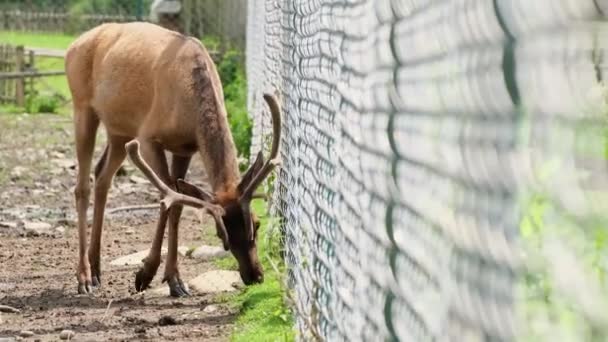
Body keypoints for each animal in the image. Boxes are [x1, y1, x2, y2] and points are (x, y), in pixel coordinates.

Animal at [65, 21, 282, 296]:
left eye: (257, 223)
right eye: (221, 235)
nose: (255, 276)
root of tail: (74, 44)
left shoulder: (184, 148)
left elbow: (177, 204)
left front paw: (174, 280)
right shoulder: (148, 137)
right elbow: (165, 196)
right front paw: (145, 273)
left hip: (118, 129)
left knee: (102, 175)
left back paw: (95, 269)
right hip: (82, 105)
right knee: (82, 185)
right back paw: (83, 276)